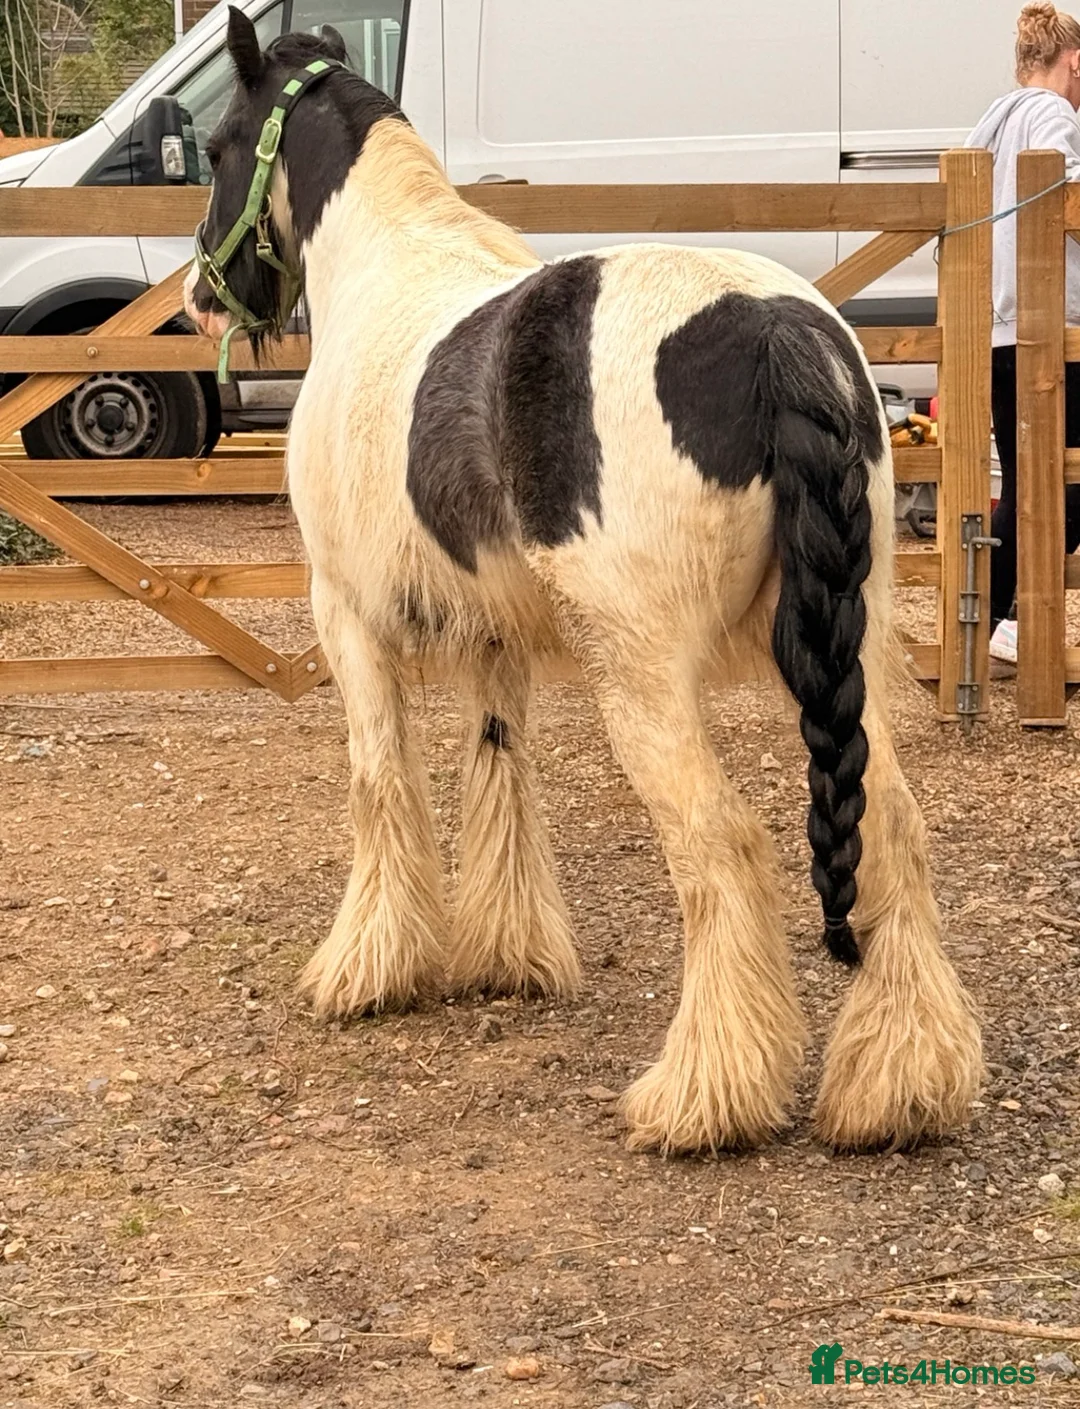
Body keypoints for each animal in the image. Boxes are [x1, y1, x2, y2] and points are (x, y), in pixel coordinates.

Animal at [185, 8, 983, 1155]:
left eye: (214, 147)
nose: (202, 298)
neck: (389, 264)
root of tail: (779, 329)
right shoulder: (491, 636)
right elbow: (498, 771)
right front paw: (506, 955)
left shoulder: (347, 619)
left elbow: (381, 782)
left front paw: (367, 970)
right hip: (846, 655)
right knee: (888, 831)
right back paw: (896, 1088)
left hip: (644, 679)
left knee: (722, 844)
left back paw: (700, 1097)